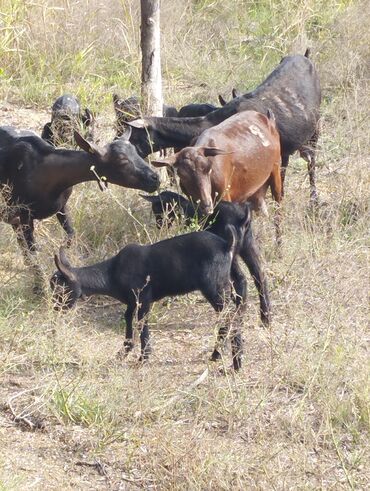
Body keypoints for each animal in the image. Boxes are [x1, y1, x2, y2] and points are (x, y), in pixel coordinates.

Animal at [0, 125, 159, 290]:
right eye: (121, 160)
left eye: (135, 152)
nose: (155, 179)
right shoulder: (25, 214)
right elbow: (33, 251)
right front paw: (40, 285)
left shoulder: (61, 206)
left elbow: (70, 234)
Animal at [49, 223, 246, 368]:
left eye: (60, 290)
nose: (55, 309)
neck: (112, 272)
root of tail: (226, 245)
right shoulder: (131, 302)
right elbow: (128, 319)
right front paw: (124, 352)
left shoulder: (143, 299)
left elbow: (141, 323)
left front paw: (143, 358)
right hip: (230, 281)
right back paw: (223, 355)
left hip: (214, 288)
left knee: (230, 316)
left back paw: (233, 362)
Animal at [140, 192, 270, 326]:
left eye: (157, 209)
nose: (159, 225)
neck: (185, 207)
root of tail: (243, 217)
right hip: (248, 245)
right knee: (260, 275)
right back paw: (265, 317)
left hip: (231, 249)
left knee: (241, 278)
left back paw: (238, 314)